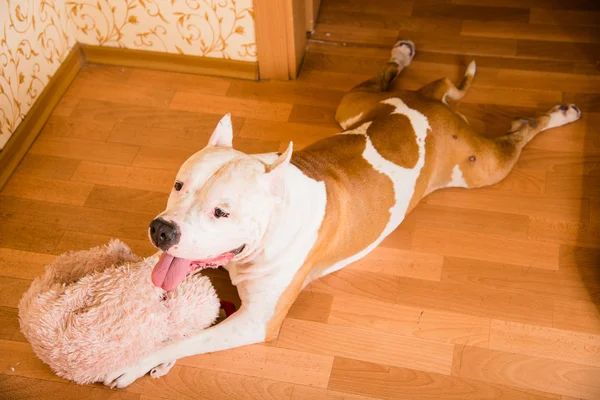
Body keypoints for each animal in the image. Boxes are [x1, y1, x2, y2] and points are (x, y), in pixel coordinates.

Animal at [103, 40, 580, 388]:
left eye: (222, 211)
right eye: (178, 185)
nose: (161, 230)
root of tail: (428, 105)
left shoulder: (257, 322)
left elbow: (186, 339)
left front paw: (140, 360)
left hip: (481, 168)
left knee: (518, 136)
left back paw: (559, 114)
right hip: (352, 105)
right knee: (400, 76)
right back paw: (403, 52)